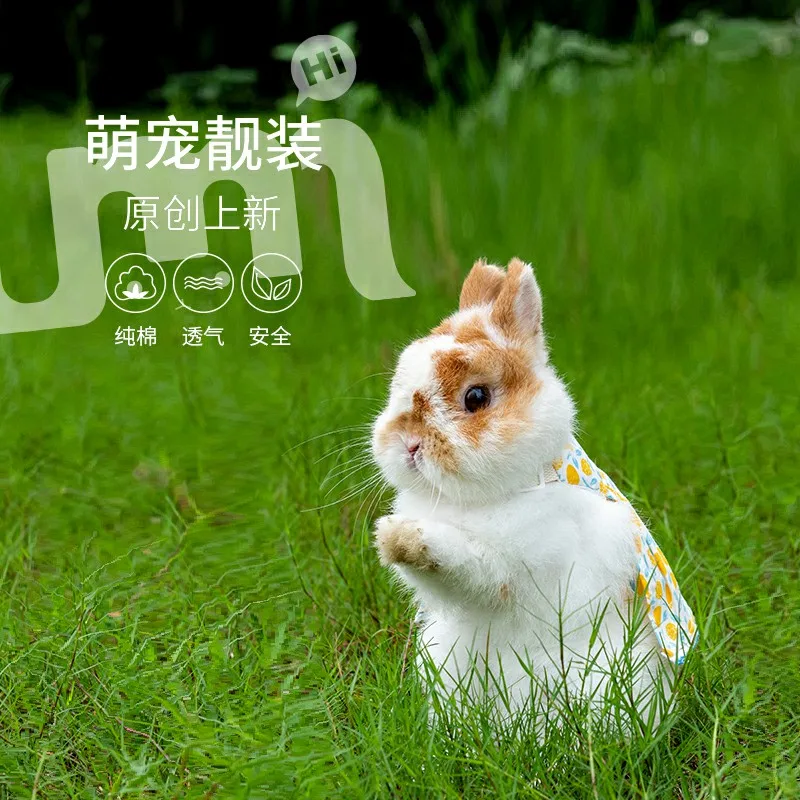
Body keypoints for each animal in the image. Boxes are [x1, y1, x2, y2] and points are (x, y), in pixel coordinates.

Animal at [371, 258, 697, 734]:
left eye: (476, 397)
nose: (409, 445)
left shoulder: (512, 565)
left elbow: (464, 562)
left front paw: (403, 537)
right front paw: (390, 537)